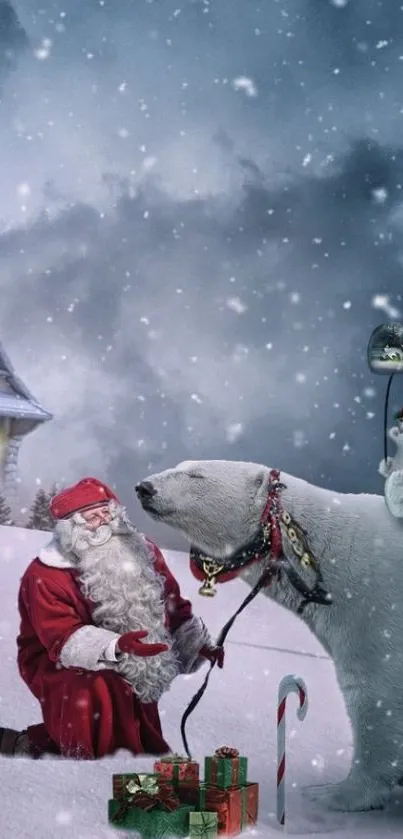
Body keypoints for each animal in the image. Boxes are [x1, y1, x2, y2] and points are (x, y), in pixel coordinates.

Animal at [137, 460, 403, 812]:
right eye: (179, 465)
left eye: (196, 474)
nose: (145, 487)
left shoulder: (375, 613)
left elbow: (375, 696)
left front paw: (332, 794)